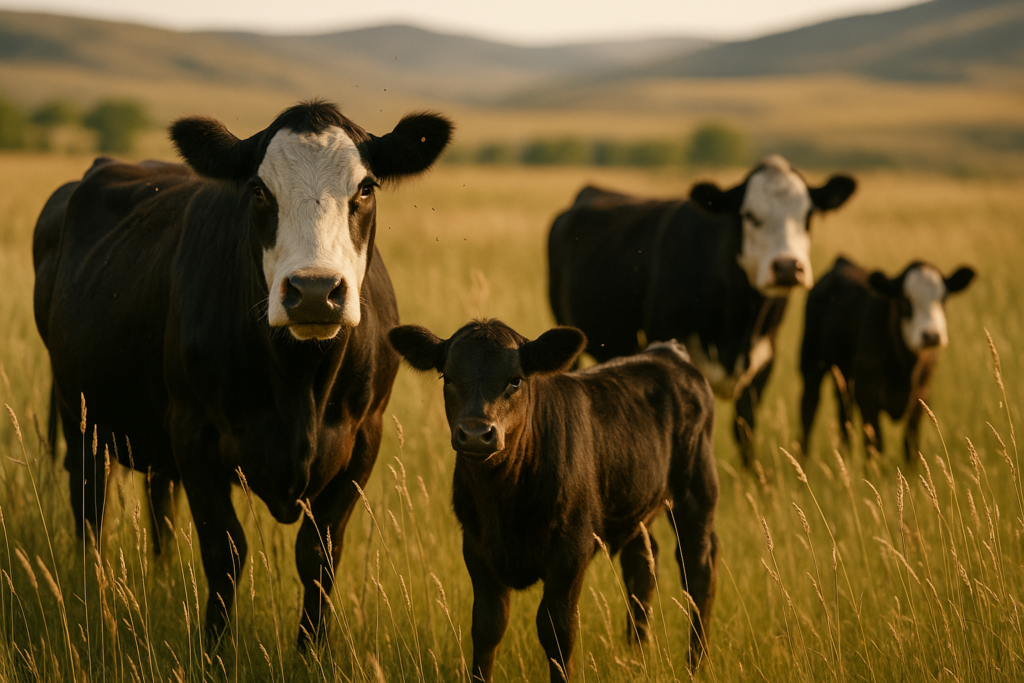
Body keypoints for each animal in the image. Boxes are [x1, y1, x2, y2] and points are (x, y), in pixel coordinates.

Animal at [32, 99, 452, 645]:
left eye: (365, 188)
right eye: (258, 190)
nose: (314, 291)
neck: (300, 384)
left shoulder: (364, 438)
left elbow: (319, 557)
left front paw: (311, 652)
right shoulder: (194, 433)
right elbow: (224, 552)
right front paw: (214, 650)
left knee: (159, 504)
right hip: (82, 417)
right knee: (90, 510)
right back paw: (91, 593)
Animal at [388, 319, 719, 682]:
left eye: (515, 379)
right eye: (448, 377)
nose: (475, 434)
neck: (502, 503)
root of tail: (666, 352)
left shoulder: (571, 551)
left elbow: (557, 631)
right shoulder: (476, 548)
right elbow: (488, 626)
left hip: (696, 490)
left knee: (697, 571)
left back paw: (695, 664)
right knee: (643, 563)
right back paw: (637, 654)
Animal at [548, 155, 856, 466]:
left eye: (807, 215)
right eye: (749, 215)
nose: (787, 268)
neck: (737, 326)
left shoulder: (765, 357)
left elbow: (745, 428)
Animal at [800, 256, 975, 461]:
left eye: (944, 299)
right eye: (904, 301)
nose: (931, 336)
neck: (904, 369)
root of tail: (842, 261)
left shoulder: (921, 398)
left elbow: (911, 449)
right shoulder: (867, 396)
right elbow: (875, 447)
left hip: (843, 379)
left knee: (844, 417)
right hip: (810, 364)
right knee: (808, 411)